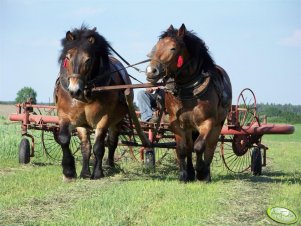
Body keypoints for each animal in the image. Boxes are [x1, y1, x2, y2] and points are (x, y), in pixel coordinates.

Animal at [54, 25, 131, 181]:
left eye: (88, 60)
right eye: (67, 57)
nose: (74, 90)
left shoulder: (104, 119)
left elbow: (99, 147)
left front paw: (98, 173)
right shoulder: (66, 116)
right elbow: (65, 140)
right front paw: (69, 171)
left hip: (116, 121)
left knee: (112, 141)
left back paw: (110, 165)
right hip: (83, 124)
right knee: (86, 145)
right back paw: (85, 171)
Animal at [145, 23, 232, 182]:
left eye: (173, 48)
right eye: (157, 46)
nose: (151, 71)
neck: (189, 89)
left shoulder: (208, 122)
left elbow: (200, 146)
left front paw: (201, 171)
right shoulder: (177, 123)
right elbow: (182, 149)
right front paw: (184, 175)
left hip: (218, 124)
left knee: (210, 147)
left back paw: (206, 173)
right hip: (190, 127)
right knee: (190, 146)